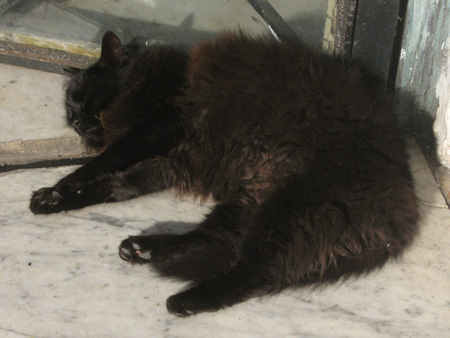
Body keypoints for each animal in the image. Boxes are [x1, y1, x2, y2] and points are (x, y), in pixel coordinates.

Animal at [29, 30, 420, 316]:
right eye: (70, 109)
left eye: (85, 97)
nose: (76, 121)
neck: (152, 77)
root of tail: (401, 219)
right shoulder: (171, 161)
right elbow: (116, 185)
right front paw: (52, 202)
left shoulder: (159, 127)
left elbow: (101, 165)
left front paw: (56, 190)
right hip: (248, 200)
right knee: (220, 244)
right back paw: (144, 249)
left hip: (291, 209)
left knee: (253, 274)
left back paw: (183, 300)